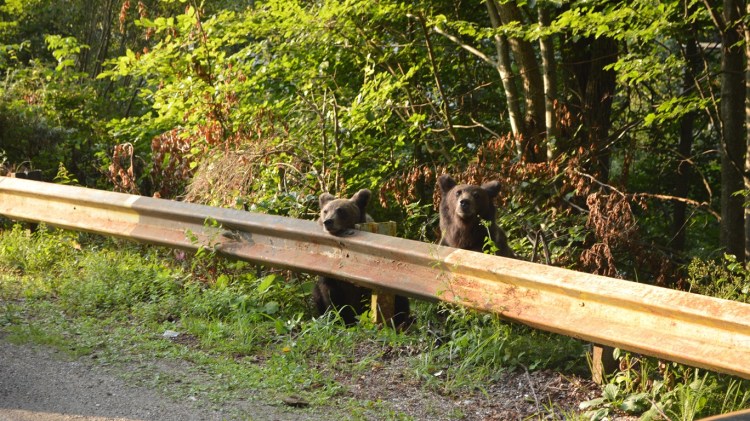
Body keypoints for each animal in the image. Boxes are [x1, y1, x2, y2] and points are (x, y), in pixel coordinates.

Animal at [313, 189, 410, 327]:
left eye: (341, 210)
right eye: (325, 211)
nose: (328, 222)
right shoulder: (329, 276)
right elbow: (330, 297)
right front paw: (338, 319)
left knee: (401, 301)